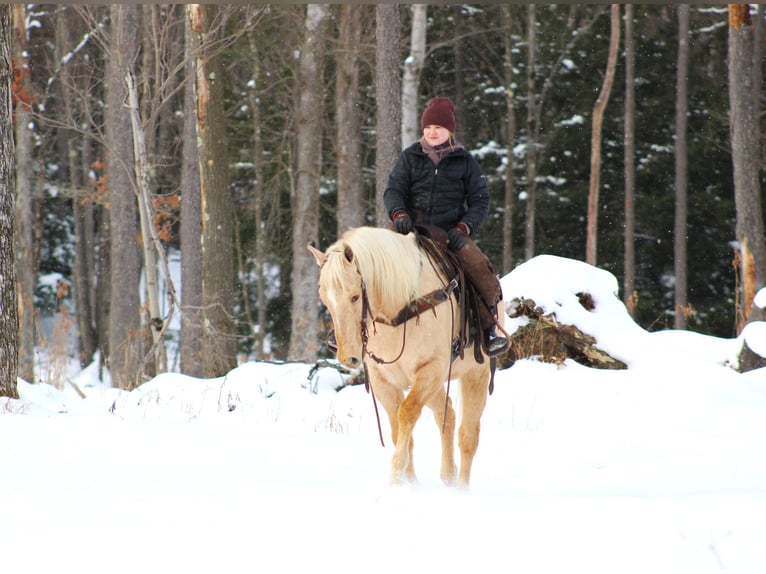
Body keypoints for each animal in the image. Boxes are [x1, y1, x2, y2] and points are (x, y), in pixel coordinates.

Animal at [308, 227, 500, 488]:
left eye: (355, 296)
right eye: (325, 300)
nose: (348, 357)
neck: (400, 312)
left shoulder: (430, 370)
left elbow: (407, 413)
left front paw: (396, 476)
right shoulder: (383, 382)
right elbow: (397, 429)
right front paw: (408, 482)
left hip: (475, 375)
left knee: (468, 436)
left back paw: (460, 488)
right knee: (447, 415)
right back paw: (448, 475)